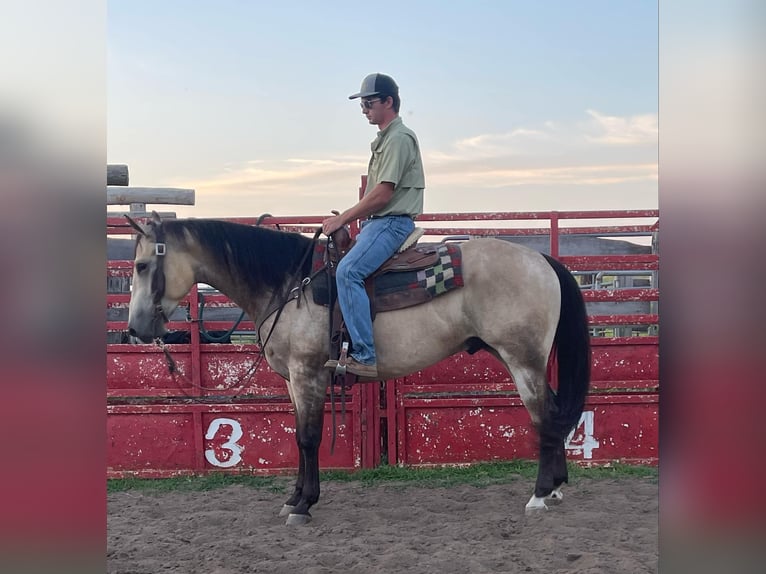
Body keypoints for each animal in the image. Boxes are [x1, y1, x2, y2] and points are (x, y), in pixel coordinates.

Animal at [127, 213, 592, 528]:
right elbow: (298, 438)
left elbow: (309, 438)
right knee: (554, 414)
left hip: (522, 359)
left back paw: (539, 495)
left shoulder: (308, 373)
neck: (288, 284)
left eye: (141, 266)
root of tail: (542, 259)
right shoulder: (294, 381)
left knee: (544, 417)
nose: (135, 329)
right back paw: (556, 487)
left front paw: (304, 505)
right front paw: (294, 498)